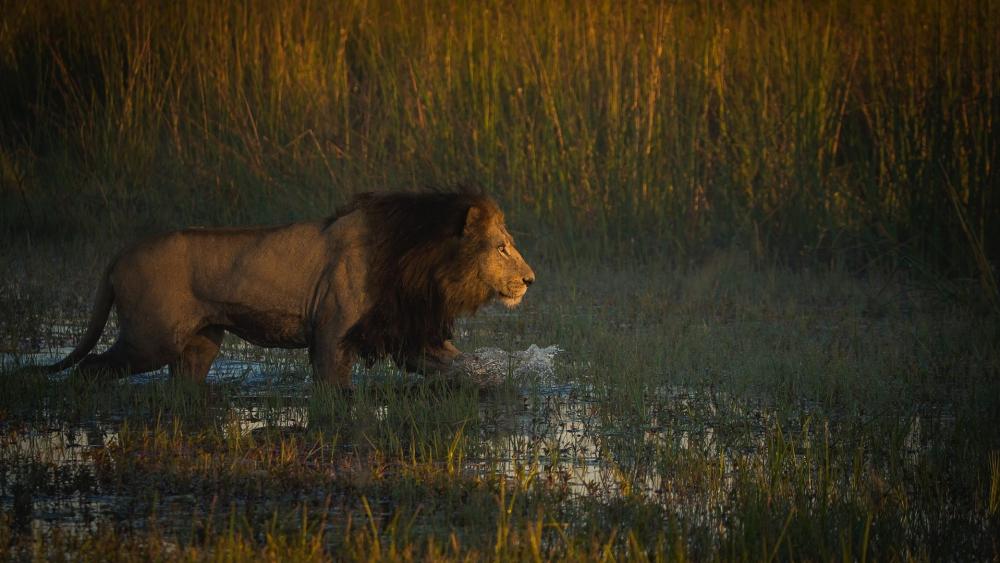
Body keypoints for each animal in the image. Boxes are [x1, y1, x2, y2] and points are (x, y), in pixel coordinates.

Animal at [40, 190, 535, 386]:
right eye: (502, 248)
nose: (531, 280)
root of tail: (119, 254)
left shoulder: (403, 334)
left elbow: (458, 365)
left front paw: (493, 385)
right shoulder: (333, 333)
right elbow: (334, 390)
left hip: (200, 344)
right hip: (150, 339)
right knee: (90, 369)